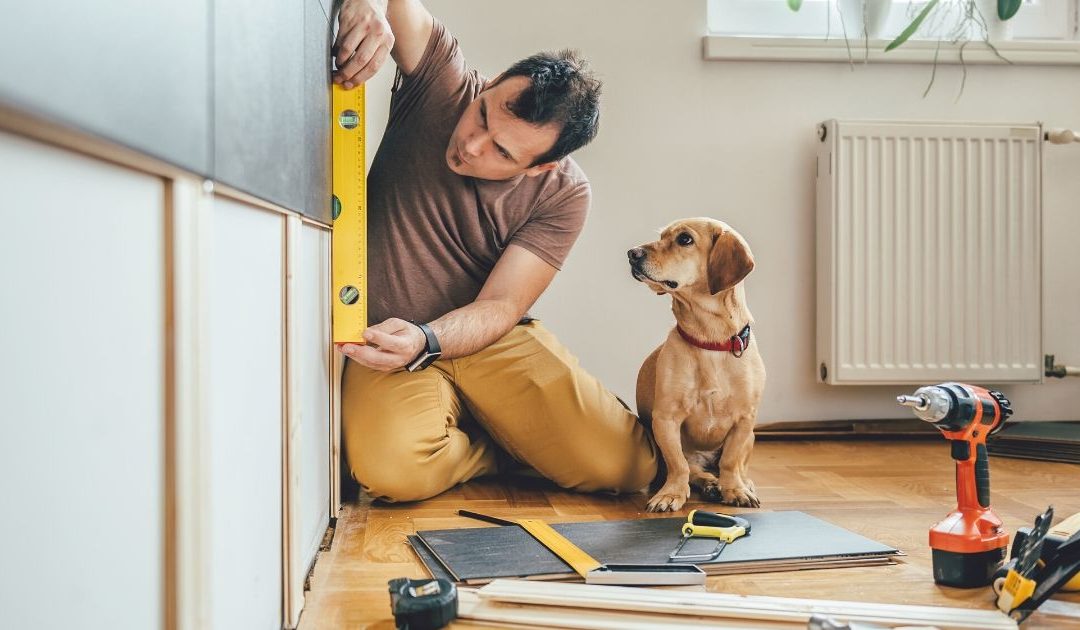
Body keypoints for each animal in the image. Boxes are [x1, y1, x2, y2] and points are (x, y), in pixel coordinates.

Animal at [630, 217, 764, 512]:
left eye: (684, 239)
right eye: (662, 236)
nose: (632, 253)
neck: (710, 341)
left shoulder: (744, 421)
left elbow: (730, 461)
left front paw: (735, 490)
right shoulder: (666, 419)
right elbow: (679, 465)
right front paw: (671, 494)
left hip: (751, 437)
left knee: (736, 466)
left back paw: (739, 484)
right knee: (695, 470)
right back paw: (710, 484)